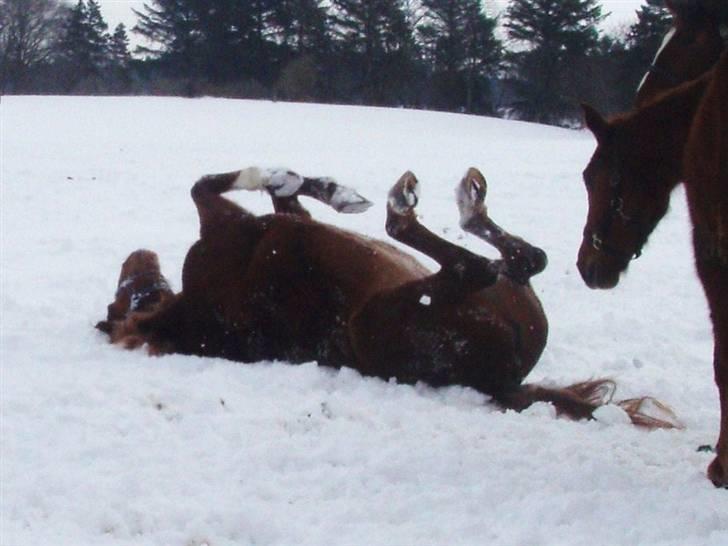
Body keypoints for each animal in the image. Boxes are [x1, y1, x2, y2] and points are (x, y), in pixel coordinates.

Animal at [99, 168, 668, 422]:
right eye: (117, 302)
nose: (135, 256)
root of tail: (504, 383)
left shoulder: (272, 223)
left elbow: (283, 196)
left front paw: (329, 189)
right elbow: (207, 185)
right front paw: (301, 180)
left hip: (507, 295)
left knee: (522, 260)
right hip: (388, 310)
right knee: (479, 263)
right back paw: (427, 204)